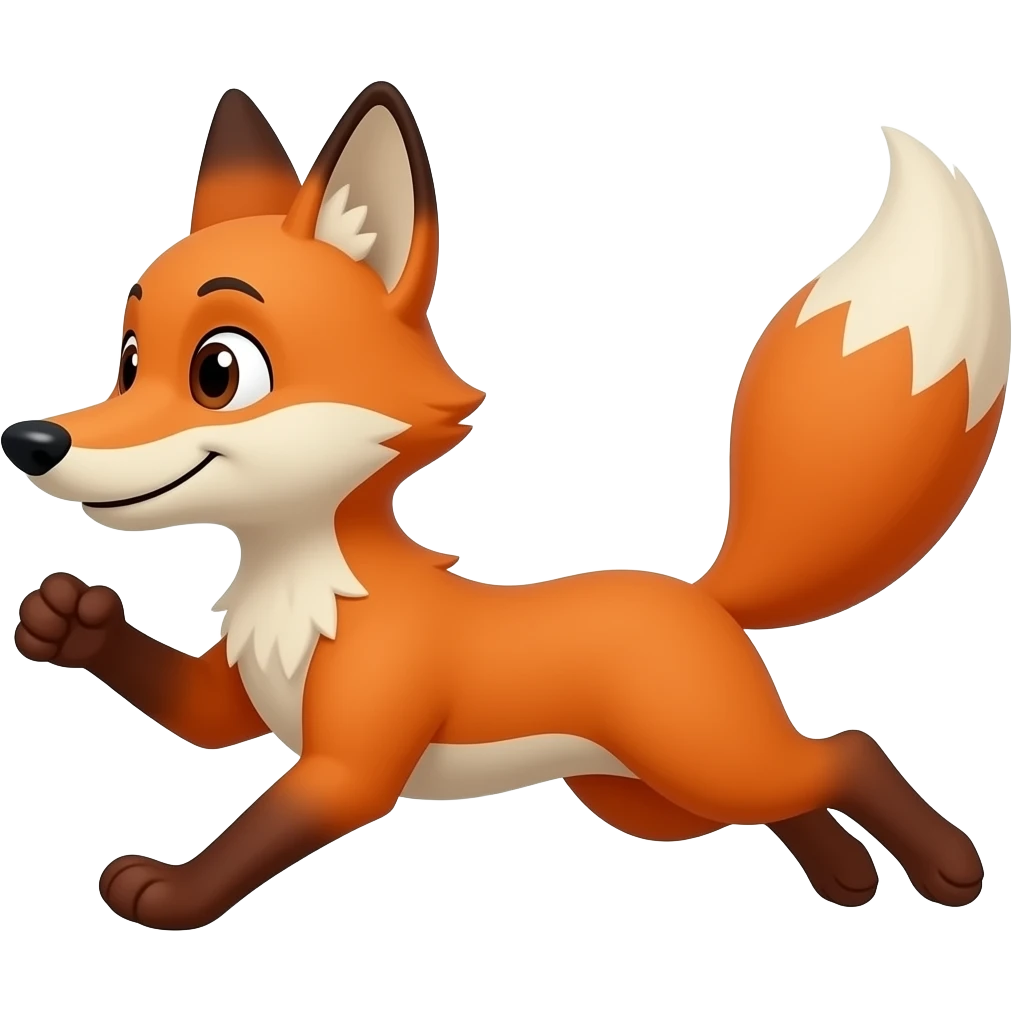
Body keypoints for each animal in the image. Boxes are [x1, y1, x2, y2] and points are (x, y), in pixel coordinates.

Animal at [4, 83, 1008, 932]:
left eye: (218, 371)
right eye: (128, 359)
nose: (31, 440)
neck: (302, 591)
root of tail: (704, 596)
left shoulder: (350, 764)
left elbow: (257, 831)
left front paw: (172, 891)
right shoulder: (239, 697)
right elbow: (200, 719)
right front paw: (70, 623)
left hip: (703, 756)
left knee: (848, 751)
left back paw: (950, 868)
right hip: (657, 798)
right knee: (799, 795)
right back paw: (844, 876)